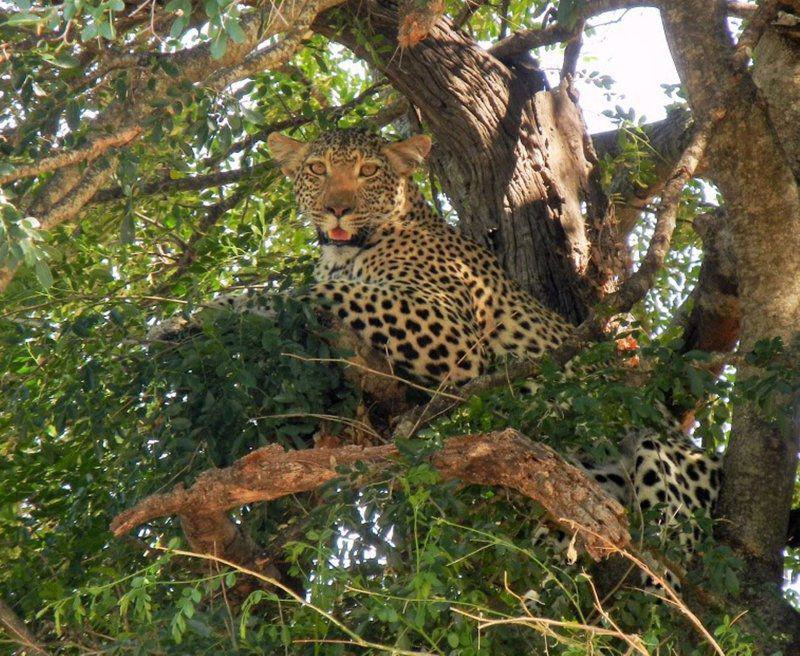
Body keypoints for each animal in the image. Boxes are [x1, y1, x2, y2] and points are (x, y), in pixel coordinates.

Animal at [158, 127, 724, 588]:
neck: (346, 251)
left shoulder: (452, 333)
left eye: (368, 172)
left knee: (673, 564)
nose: (337, 208)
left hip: (659, 455)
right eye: (317, 170)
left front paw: (209, 312)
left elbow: (319, 292)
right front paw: (189, 322)